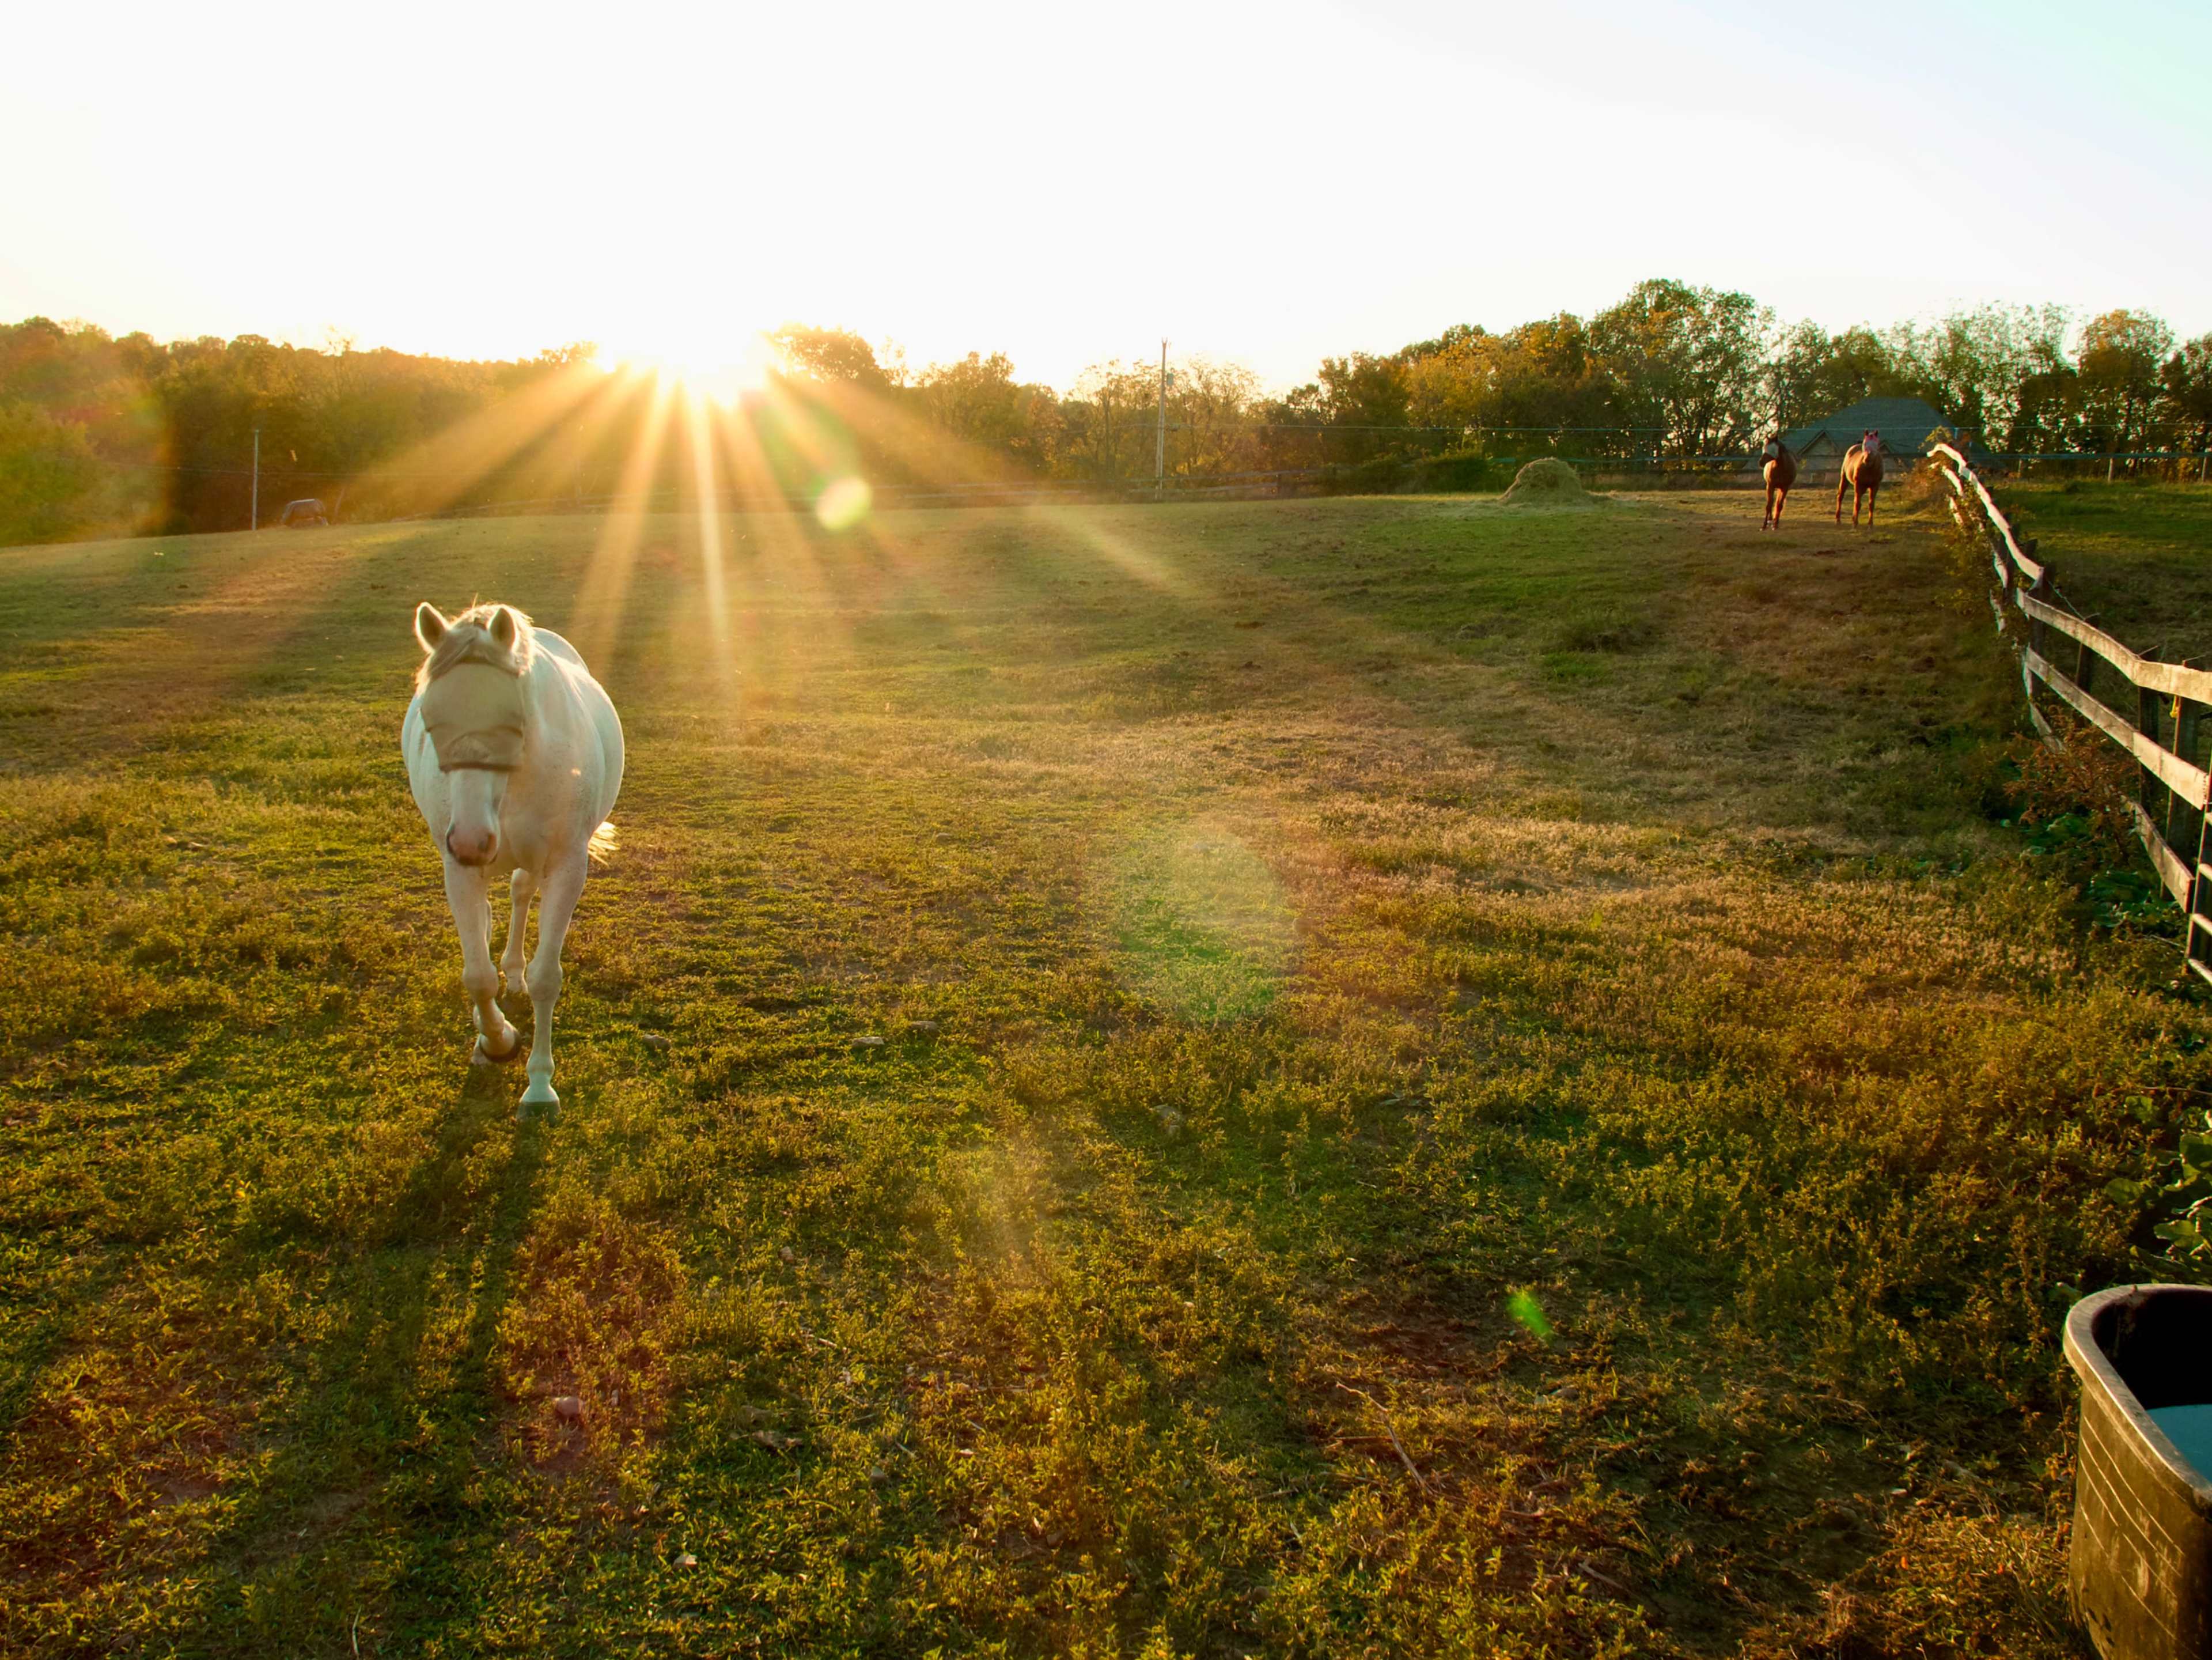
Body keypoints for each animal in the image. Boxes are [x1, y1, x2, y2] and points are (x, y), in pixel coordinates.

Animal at [403, 602, 624, 1111]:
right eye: (431, 721)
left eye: (512, 720)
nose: (469, 840)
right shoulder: (459, 869)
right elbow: (477, 976)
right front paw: (497, 1040)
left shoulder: (567, 867)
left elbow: (547, 978)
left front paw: (540, 1085)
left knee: (521, 893)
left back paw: (515, 975)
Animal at [1760, 437, 1798, 529]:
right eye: (1764, 448)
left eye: (1773, 449)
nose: (1761, 462)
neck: (1781, 467)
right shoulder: (1770, 486)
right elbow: (1769, 505)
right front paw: (1764, 525)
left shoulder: (1785, 488)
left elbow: (1779, 505)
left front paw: (1775, 525)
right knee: (1772, 503)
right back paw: (1770, 520)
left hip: (1781, 488)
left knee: (1777, 504)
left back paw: (1774, 522)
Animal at [1834, 430, 1885, 527]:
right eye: (1865, 444)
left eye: (1876, 444)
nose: (1868, 459)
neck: (1869, 468)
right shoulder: (1858, 484)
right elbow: (1857, 504)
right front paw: (1855, 524)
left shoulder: (1875, 486)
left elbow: (1871, 504)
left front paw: (1870, 525)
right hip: (1845, 479)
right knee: (1841, 497)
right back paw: (1838, 519)